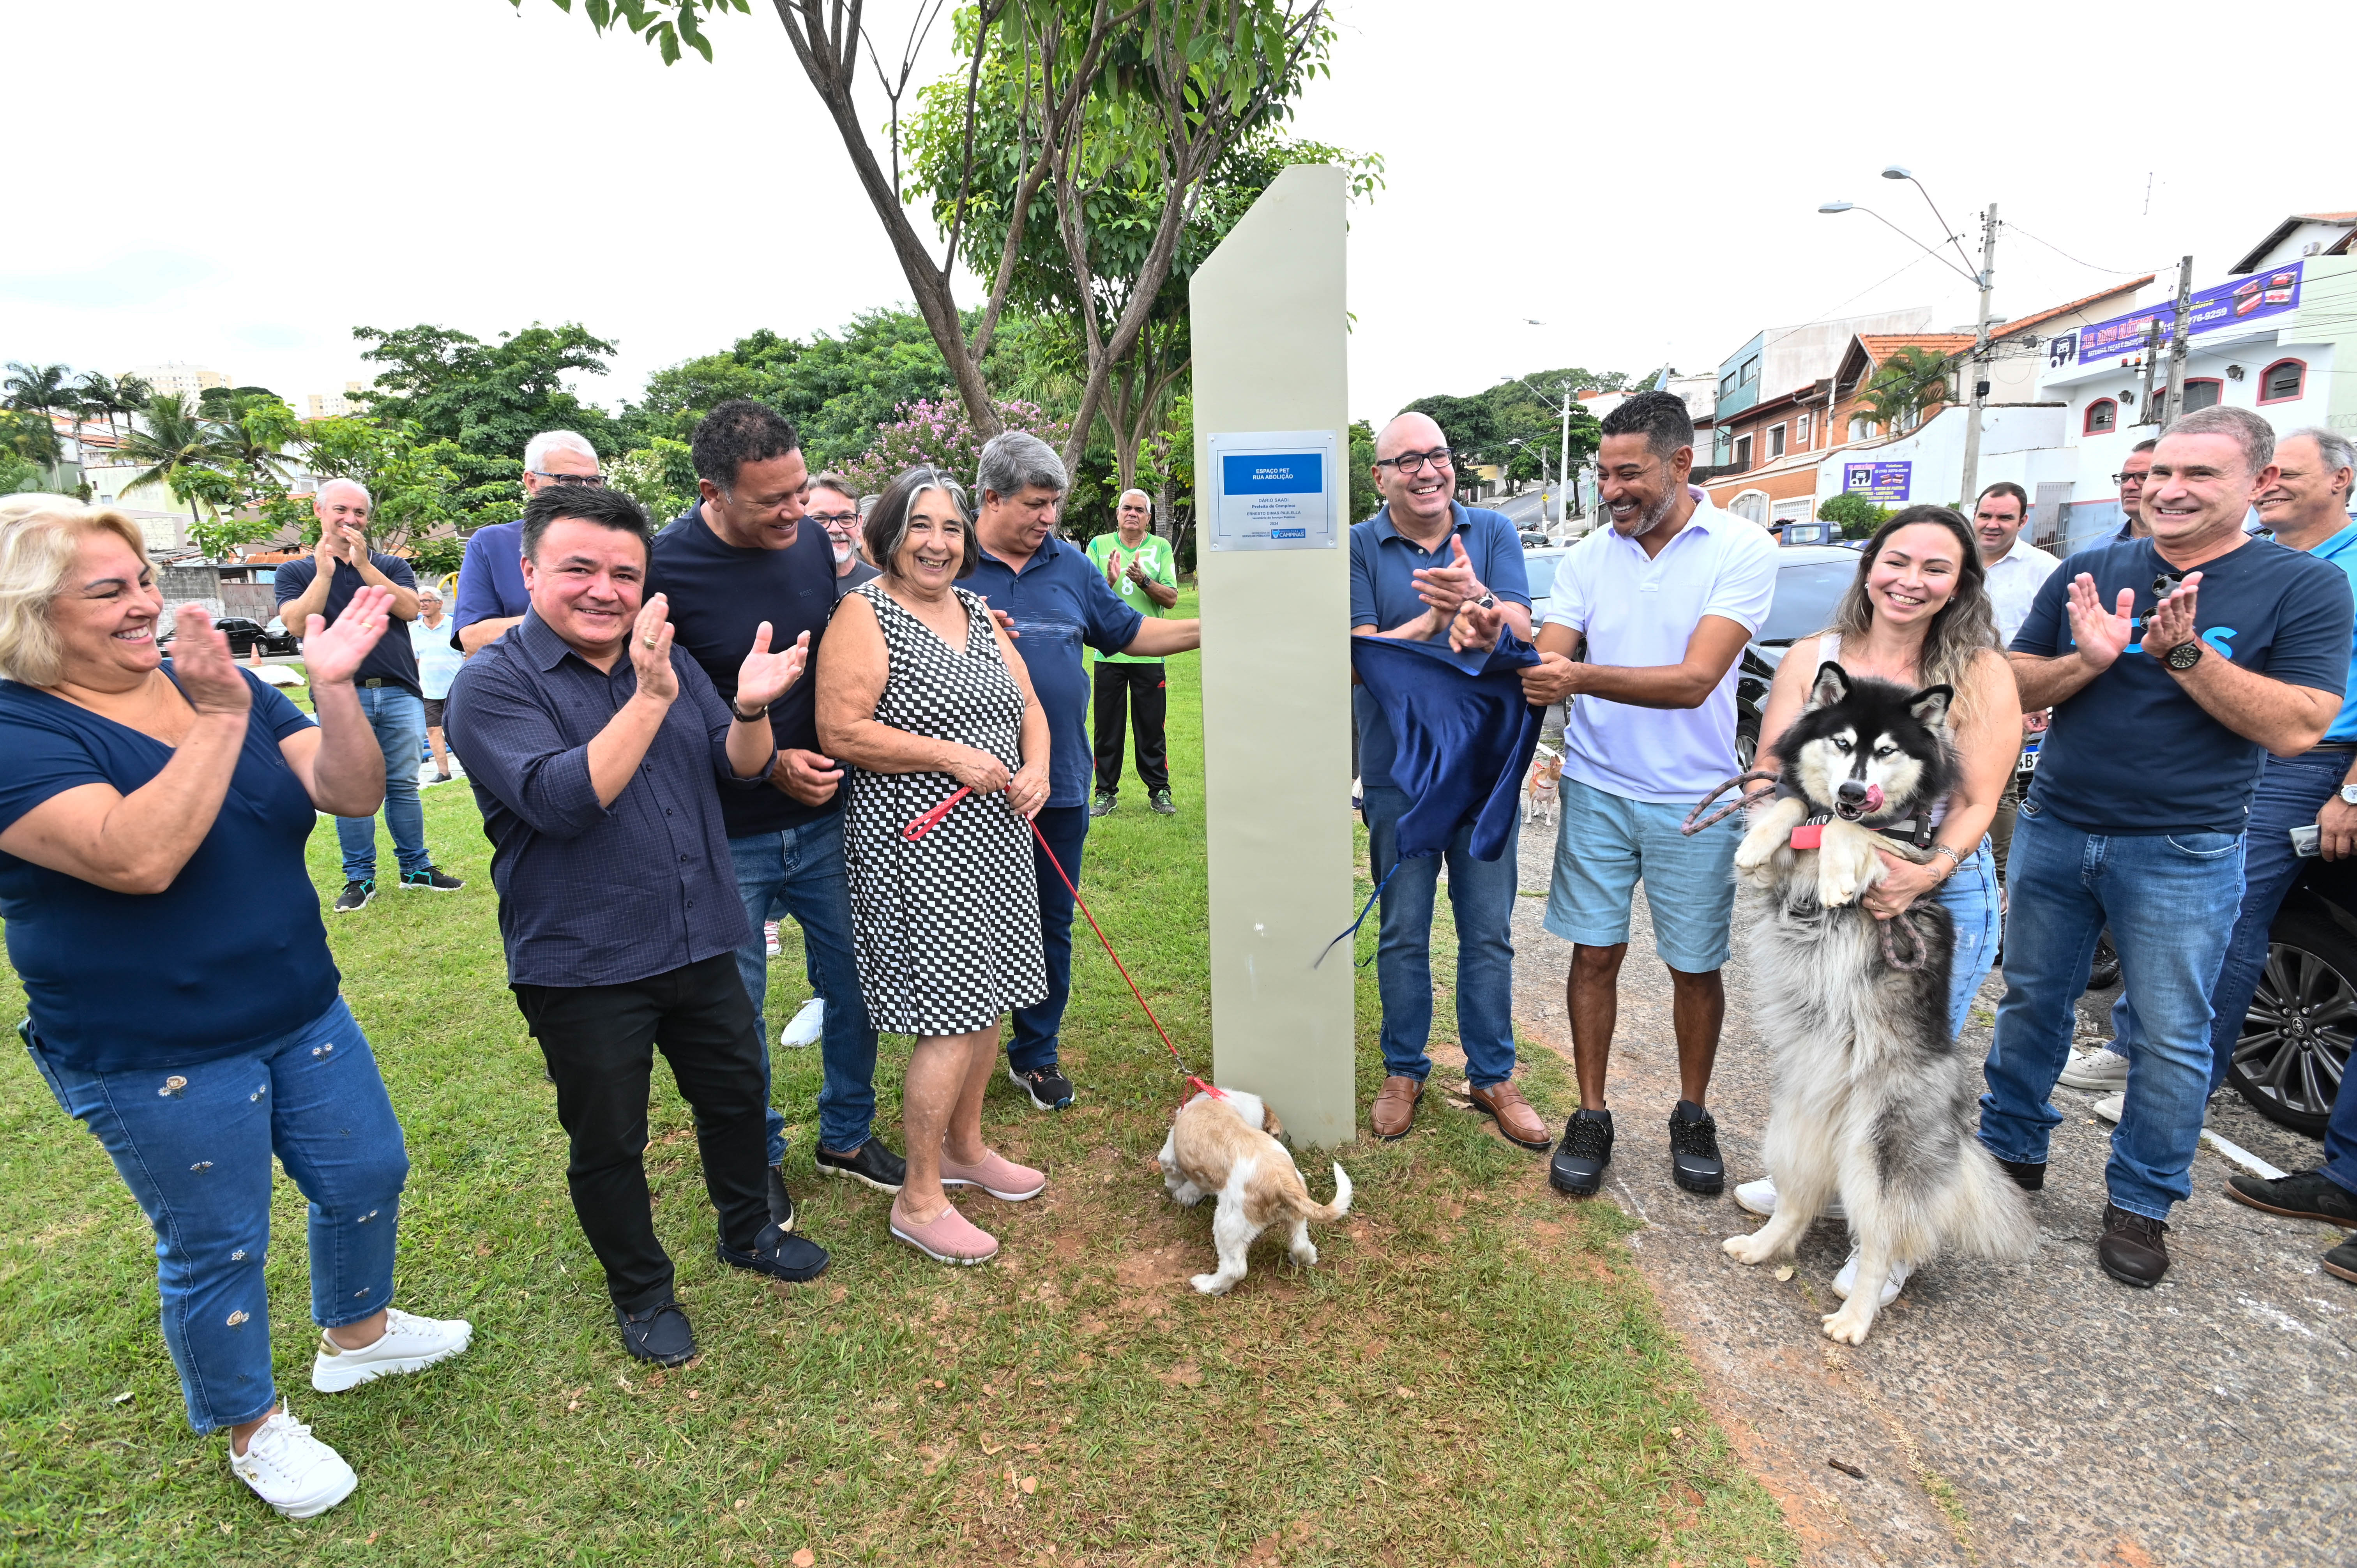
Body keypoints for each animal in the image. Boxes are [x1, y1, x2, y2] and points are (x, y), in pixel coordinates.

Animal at [1155, 1084, 1357, 1292]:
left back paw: (1207, 1285)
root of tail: (1282, 1182)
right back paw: (1305, 1258)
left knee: (1235, 1269)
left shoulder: (1171, 1152)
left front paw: (1179, 1193)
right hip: (1296, 1214)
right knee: (1300, 1244)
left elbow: (1171, 1171)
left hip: (1229, 1223)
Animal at [1725, 665, 2036, 1349]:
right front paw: (1758, 840)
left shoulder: (1909, 858)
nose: (1851, 788)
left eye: (1887, 751)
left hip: (1879, 1159)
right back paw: (1760, 1248)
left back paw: (1854, 1319)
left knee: (1881, 1245)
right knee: (1798, 1205)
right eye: (1842, 743)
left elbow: (1855, 830)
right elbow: (1792, 805)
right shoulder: (1782, 869)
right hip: (1796, 1132)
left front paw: (1839, 872)